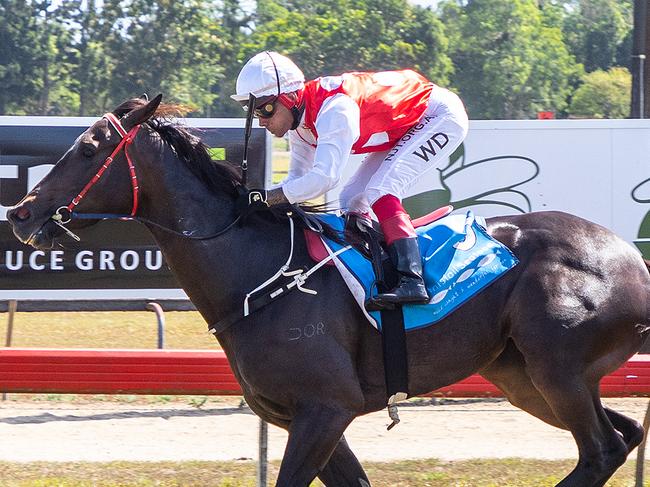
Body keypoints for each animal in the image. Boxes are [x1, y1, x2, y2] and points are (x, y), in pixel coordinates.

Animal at [5, 93, 648, 486]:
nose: (20, 211)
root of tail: (632, 261)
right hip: (522, 378)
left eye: (89, 147)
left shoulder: (325, 408)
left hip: (556, 369)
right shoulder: (305, 417)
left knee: (601, 449)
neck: (256, 271)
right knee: (621, 437)